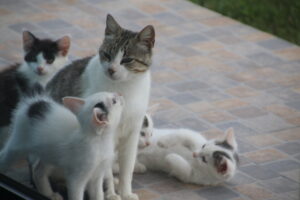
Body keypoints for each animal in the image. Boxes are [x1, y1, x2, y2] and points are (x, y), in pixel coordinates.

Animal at [47, 14, 155, 200]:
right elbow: (105, 173)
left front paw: (126, 192)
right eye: (107, 54)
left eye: (127, 59)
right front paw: (110, 193)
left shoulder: (132, 133)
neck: (124, 88)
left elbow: (127, 168)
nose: (111, 70)